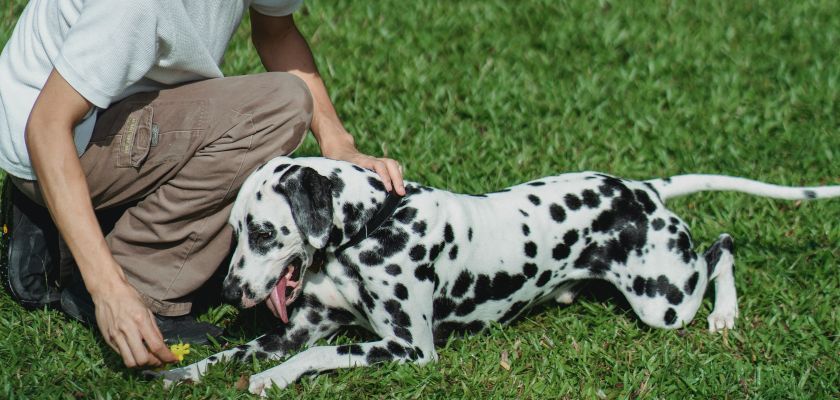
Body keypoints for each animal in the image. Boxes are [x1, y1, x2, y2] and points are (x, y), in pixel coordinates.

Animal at [153, 155, 840, 394]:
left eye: (266, 232)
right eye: (235, 230)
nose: (230, 291)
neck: (377, 224)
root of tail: (640, 189)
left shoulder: (408, 350)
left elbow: (313, 357)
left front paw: (270, 381)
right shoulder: (294, 330)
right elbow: (234, 353)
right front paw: (180, 371)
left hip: (665, 301)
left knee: (723, 248)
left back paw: (725, 315)